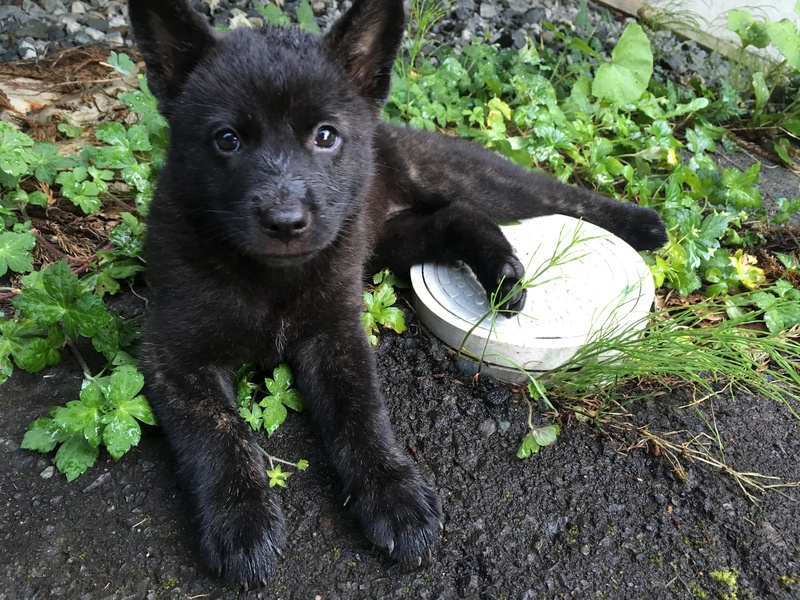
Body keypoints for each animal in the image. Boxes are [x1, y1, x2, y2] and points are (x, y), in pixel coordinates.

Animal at [130, 0, 668, 588]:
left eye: (325, 135)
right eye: (226, 139)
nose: (285, 222)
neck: (274, 278)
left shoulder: (337, 335)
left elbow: (361, 414)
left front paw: (393, 493)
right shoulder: (172, 355)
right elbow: (217, 432)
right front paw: (240, 516)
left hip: (457, 178)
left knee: (550, 195)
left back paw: (640, 223)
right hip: (388, 240)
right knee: (459, 219)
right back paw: (504, 275)